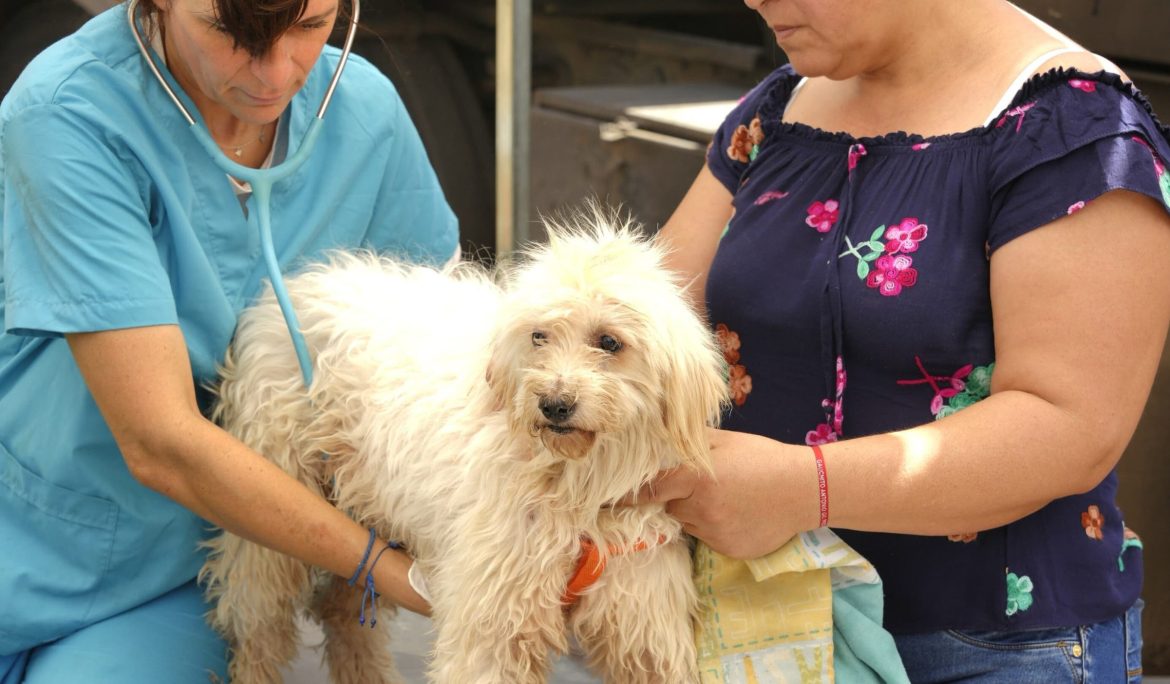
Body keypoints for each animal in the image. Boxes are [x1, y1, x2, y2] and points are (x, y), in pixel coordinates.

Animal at [202, 217, 730, 682]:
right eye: (539, 336)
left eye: (609, 341)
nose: (554, 404)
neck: (573, 488)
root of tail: (293, 287)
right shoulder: (493, 623)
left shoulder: (644, 625)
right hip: (268, 516)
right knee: (259, 629)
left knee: (342, 613)